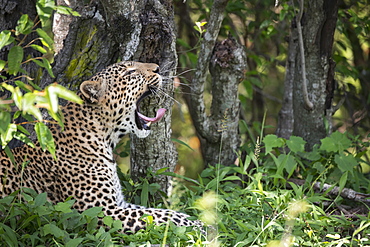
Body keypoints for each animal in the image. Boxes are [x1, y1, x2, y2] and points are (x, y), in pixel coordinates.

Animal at [0, 61, 202, 233]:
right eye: (130, 72)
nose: (158, 68)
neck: (104, 137)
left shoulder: (119, 203)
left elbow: (160, 211)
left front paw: (196, 217)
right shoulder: (101, 212)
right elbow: (161, 217)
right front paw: (198, 225)